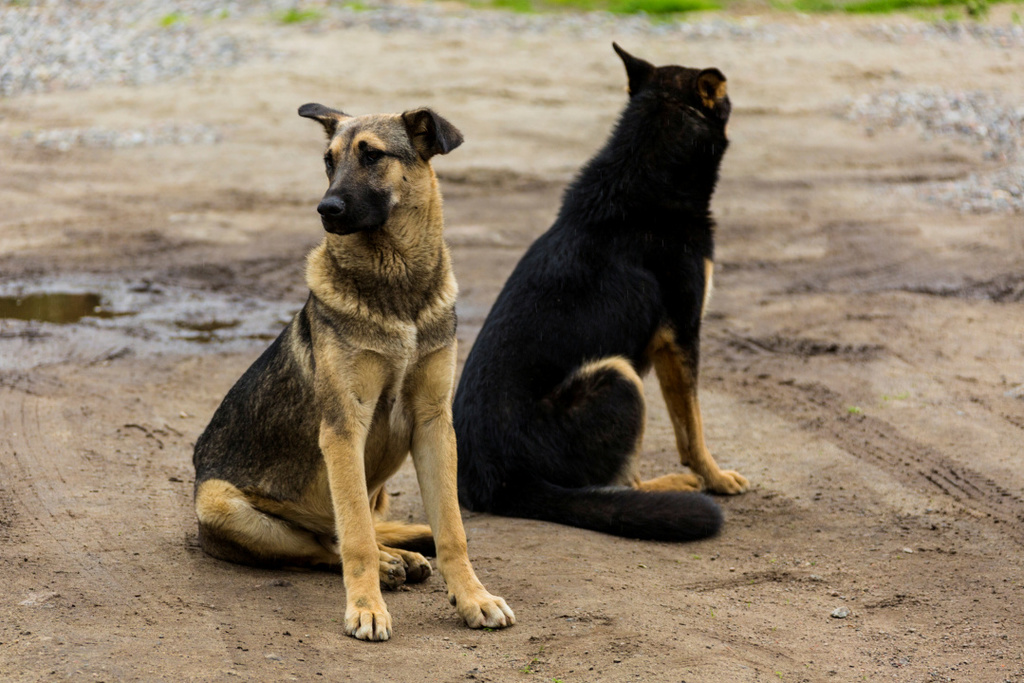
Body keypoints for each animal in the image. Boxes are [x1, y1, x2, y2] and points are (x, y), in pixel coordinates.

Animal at [189, 101, 516, 643]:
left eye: (372, 156)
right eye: (328, 160)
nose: (326, 210)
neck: (397, 285)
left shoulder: (434, 424)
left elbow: (453, 529)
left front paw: (473, 597)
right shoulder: (344, 429)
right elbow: (356, 538)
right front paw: (367, 607)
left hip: (376, 488)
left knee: (362, 525)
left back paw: (405, 548)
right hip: (219, 503)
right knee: (326, 542)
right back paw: (388, 564)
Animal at [452, 44, 749, 544]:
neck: (645, 168)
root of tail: (501, 483)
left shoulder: (669, 345)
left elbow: (684, 423)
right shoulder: (682, 335)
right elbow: (693, 425)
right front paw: (715, 477)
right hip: (618, 376)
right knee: (618, 482)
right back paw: (665, 487)